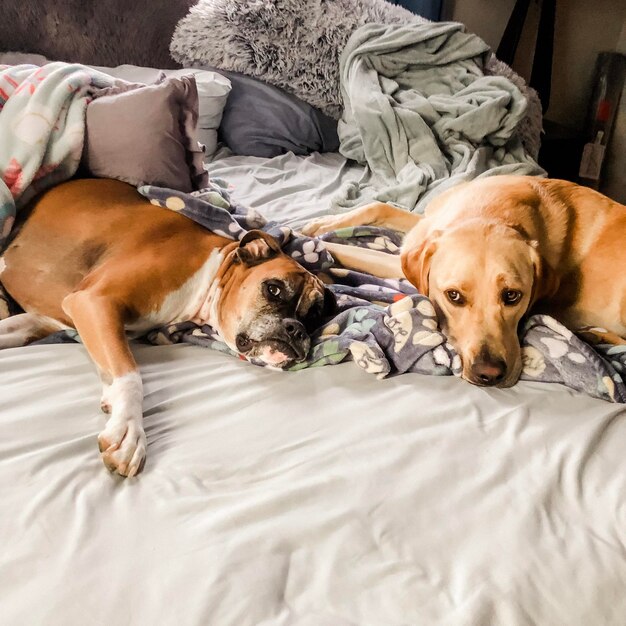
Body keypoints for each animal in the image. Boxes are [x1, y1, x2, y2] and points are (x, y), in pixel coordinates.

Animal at [0, 178, 334, 476]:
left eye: (314, 315)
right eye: (273, 289)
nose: (296, 329)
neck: (210, 273)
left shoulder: (47, 319)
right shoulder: (94, 302)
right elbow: (130, 372)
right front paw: (129, 430)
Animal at [304, 176, 624, 388]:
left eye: (512, 296)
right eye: (454, 296)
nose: (489, 374)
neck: (488, 212)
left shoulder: (398, 262)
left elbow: (341, 248)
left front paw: (305, 249)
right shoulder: (423, 229)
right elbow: (378, 207)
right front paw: (317, 226)